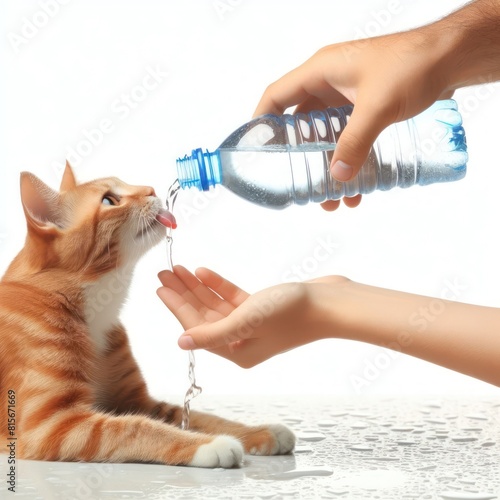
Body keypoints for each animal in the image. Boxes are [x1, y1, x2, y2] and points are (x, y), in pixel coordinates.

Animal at [0, 165, 292, 468]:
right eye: (109, 200)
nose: (151, 189)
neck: (97, 309)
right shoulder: (51, 426)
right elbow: (136, 428)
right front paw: (209, 444)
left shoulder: (137, 401)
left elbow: (201, 418)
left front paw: (258, 431)